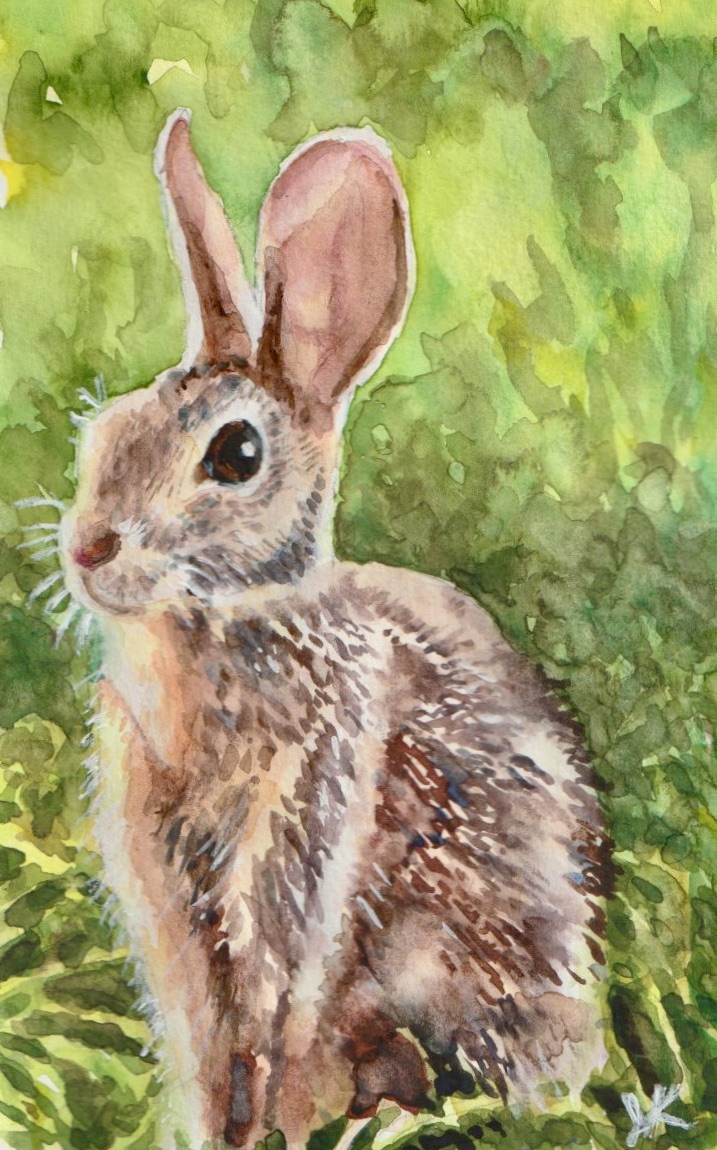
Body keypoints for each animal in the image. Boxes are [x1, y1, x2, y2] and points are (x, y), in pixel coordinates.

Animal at [59, 110, 609, 1149]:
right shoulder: (154, 858)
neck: (221, 620)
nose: (87, 548)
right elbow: (199, 1018)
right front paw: (205, 1127)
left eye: (236, 455)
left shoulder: (310, 796)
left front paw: (270, 1122)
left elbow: (274, 985)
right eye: (106, 427)